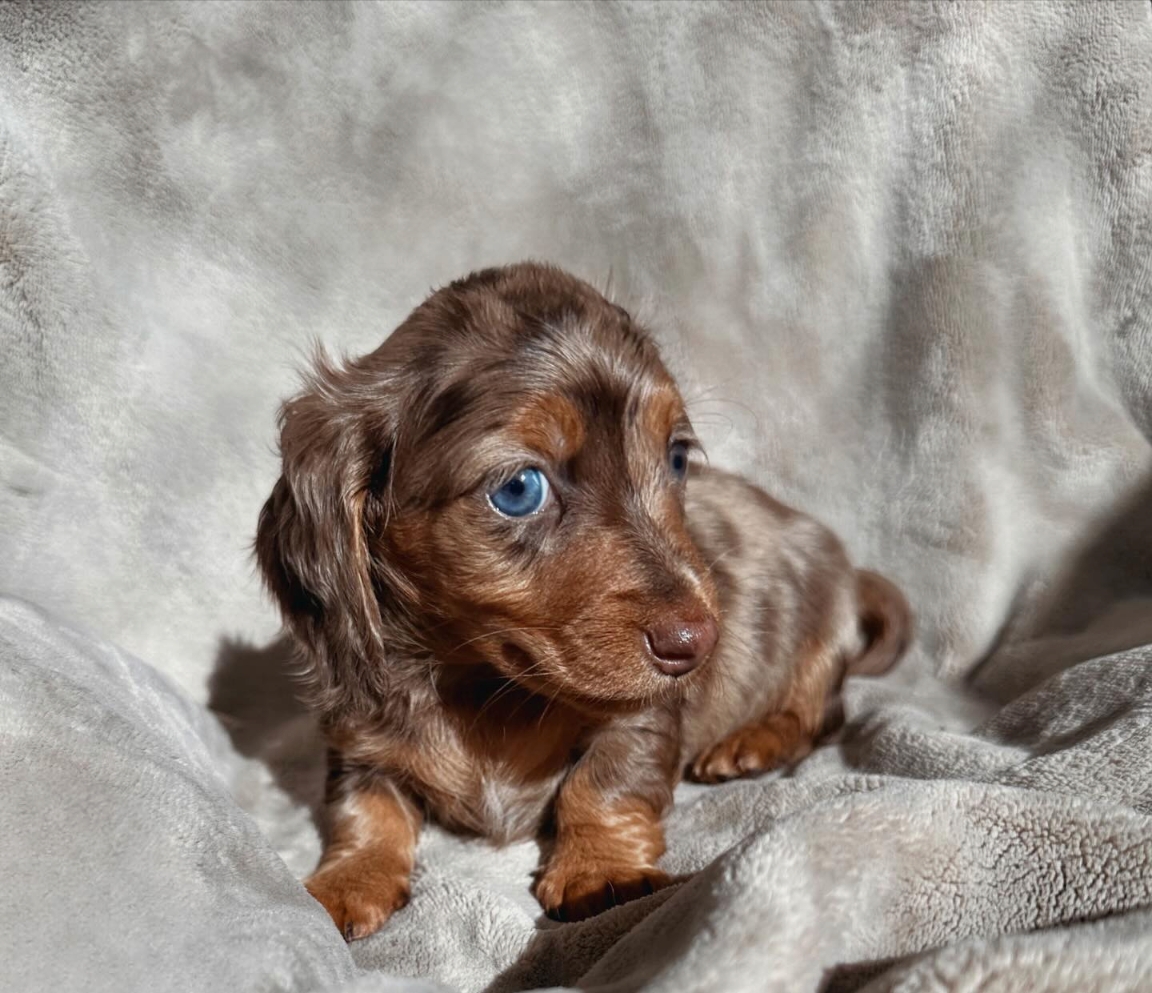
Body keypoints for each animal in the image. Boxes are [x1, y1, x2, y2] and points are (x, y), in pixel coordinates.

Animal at [256, 258, 912, 940]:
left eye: (677, 458)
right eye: (519, 489)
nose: (700, 644)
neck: (482, 689)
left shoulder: (645, 715)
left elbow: (603, 781)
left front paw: (603, 871)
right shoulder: (358, 732)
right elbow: (365, 806)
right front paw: (345, 882)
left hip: (818, 625)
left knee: (820, 711)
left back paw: (751, 743)